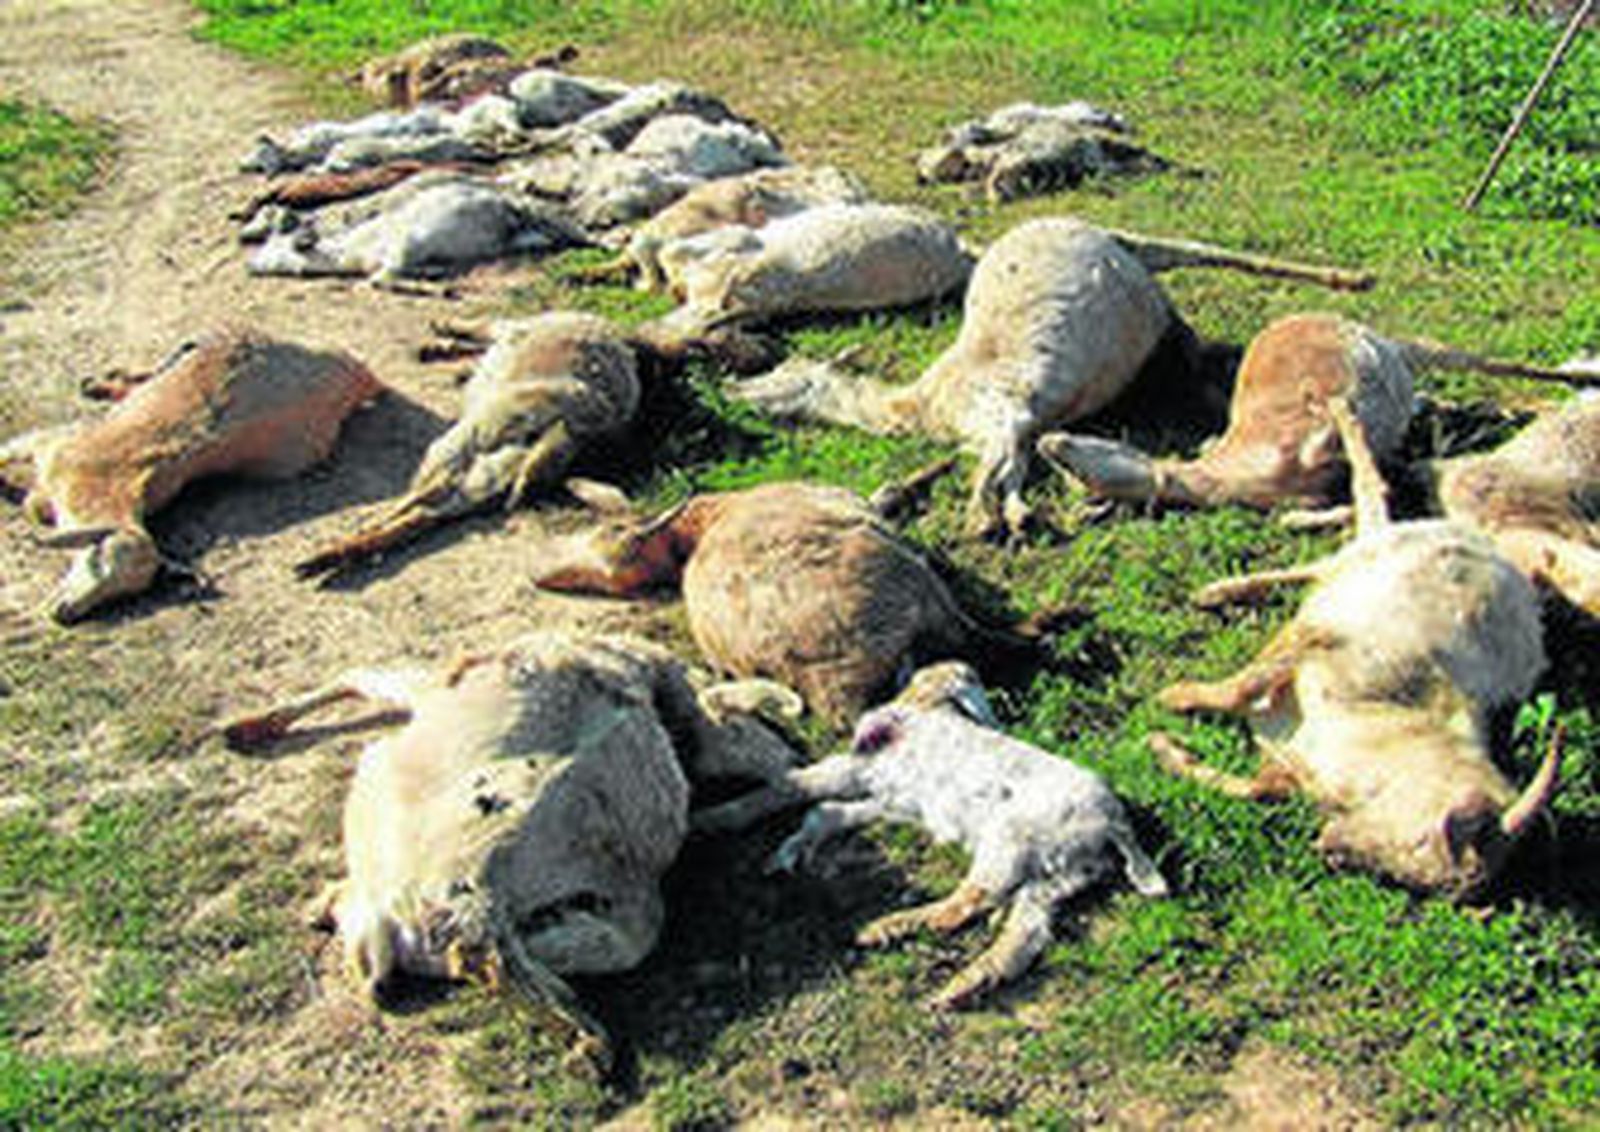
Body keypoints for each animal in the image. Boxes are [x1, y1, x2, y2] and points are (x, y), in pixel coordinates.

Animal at [0, 330, 381, 622]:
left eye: (122, 591)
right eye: (99, 557)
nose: (64, 613)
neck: (107, 486)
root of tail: (359, 376)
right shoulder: (48, 444)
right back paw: (100, 384)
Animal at [219, 629, 796, 1068]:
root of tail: (397, 920)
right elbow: (361, 673)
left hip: (553, 893)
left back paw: (582, 1036)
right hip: (480, 850)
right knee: (486, 942)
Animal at [693, 661, 1168, 1008]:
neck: (928, 712)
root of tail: (1114, 824)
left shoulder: (855, 770)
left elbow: (787, 789)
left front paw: (709, 820)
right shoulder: (891, 798)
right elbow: (828, 813)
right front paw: (789, 850)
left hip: (1008, 841)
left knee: (963, 907)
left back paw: (881, 931)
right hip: (1058, 875)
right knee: (1026, 933)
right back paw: (959, 984)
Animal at [733, 218, 1374, 538]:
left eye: (786, 375)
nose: (739, 394)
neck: (924, 405)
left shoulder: (1003, 410)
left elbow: (993, 471)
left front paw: (985, 517)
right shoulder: (1021, 422)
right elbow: (1015, 466)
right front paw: (1027, 511)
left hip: (1133, 262)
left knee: (1190, 247)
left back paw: (1352, 277)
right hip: (1145, 297)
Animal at [1151, 398, 1560, 897]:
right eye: (1426, 840)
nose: (1330, 851)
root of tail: (1486, 546)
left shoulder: (1292, 766)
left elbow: (1257, 787)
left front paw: (1164, 748)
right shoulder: (1320, 644)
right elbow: (1241, 687)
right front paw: (1172, 698)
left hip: (1358, 564)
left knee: (1330, 555)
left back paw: (1224, 588)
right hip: (1382, 555)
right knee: (1368, 494)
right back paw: (1339, 416)